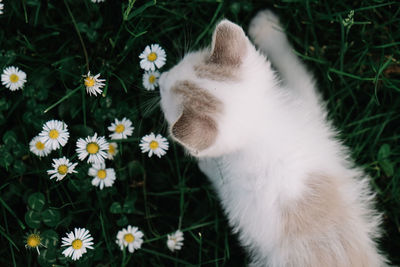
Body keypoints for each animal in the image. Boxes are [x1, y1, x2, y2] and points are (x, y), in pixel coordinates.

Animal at [159, 9, 388, 266]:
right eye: (177, 66)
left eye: (163, 98)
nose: (160, 78)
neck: (261, 127)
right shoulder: (309, 109)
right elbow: (298, 71)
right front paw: (268, 30)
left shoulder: (238, 195)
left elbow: (218, 177)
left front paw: (205, 163)